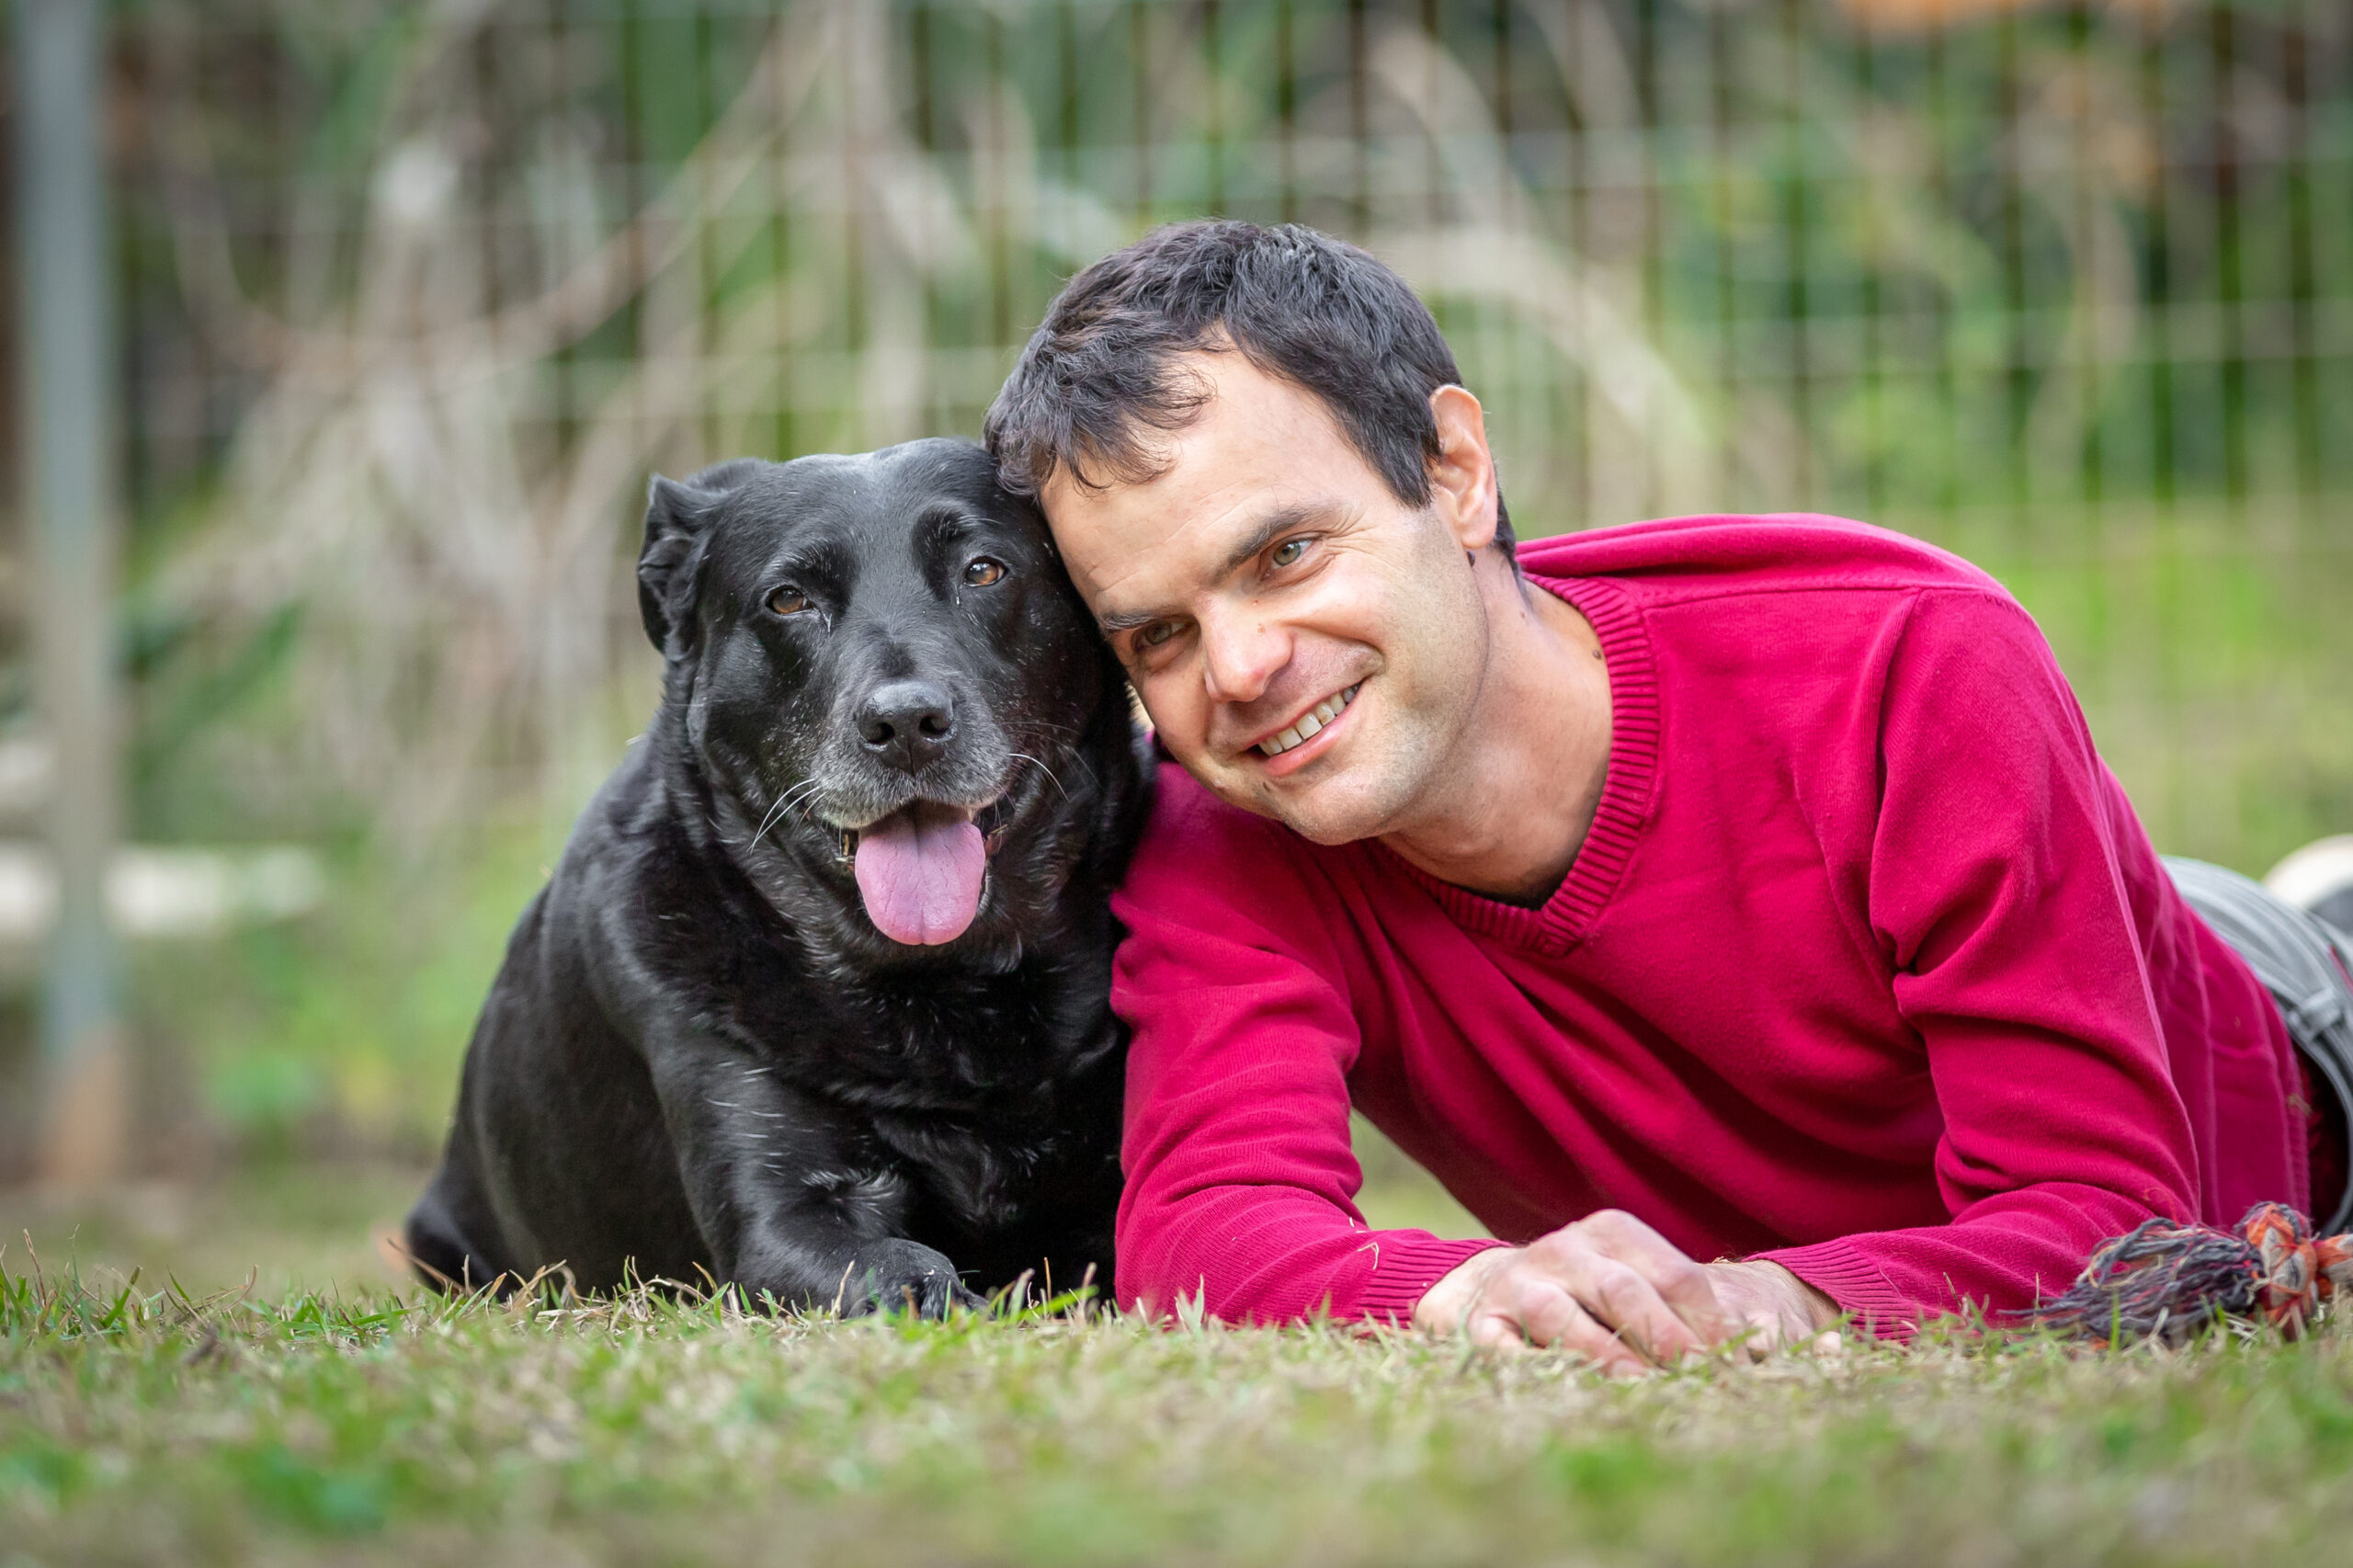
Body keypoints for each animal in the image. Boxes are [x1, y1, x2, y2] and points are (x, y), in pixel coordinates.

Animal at [406, 435, 1157, 1309]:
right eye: (789, 600)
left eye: (983, 571)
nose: (905, 723)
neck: (946, 990)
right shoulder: (784, 1220)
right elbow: (918, 1276)